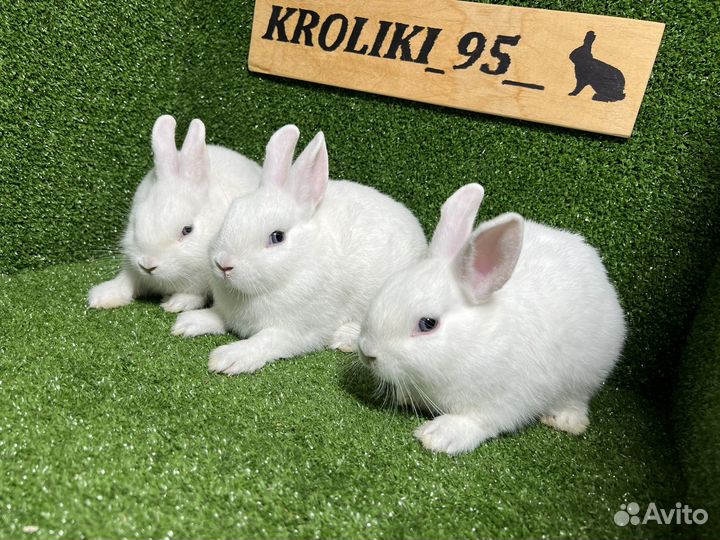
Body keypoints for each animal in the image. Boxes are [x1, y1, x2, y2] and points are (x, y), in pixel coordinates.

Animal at [88, 115, 262, 312]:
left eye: (187, 230)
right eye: (135, 223)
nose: (147, 265)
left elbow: (194, 294)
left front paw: (175, 303)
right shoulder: (131, 265)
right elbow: (126, 281)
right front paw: (103, 297)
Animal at [172, 124, 428, 374]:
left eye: (277, 237)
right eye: (232, 211)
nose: (224, 264)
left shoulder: (294, 332)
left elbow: (264, 341)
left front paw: (229, 358)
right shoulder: (227, 312)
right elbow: (217, 316)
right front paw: (188, 323)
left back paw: (344, 337)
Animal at [357, 183, 627, 455]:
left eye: (428, 324)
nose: (367, 351)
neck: (472, 341)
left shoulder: (504, 400)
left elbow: (478, 421)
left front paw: (438, 435)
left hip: (589, 372)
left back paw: (565, 420)